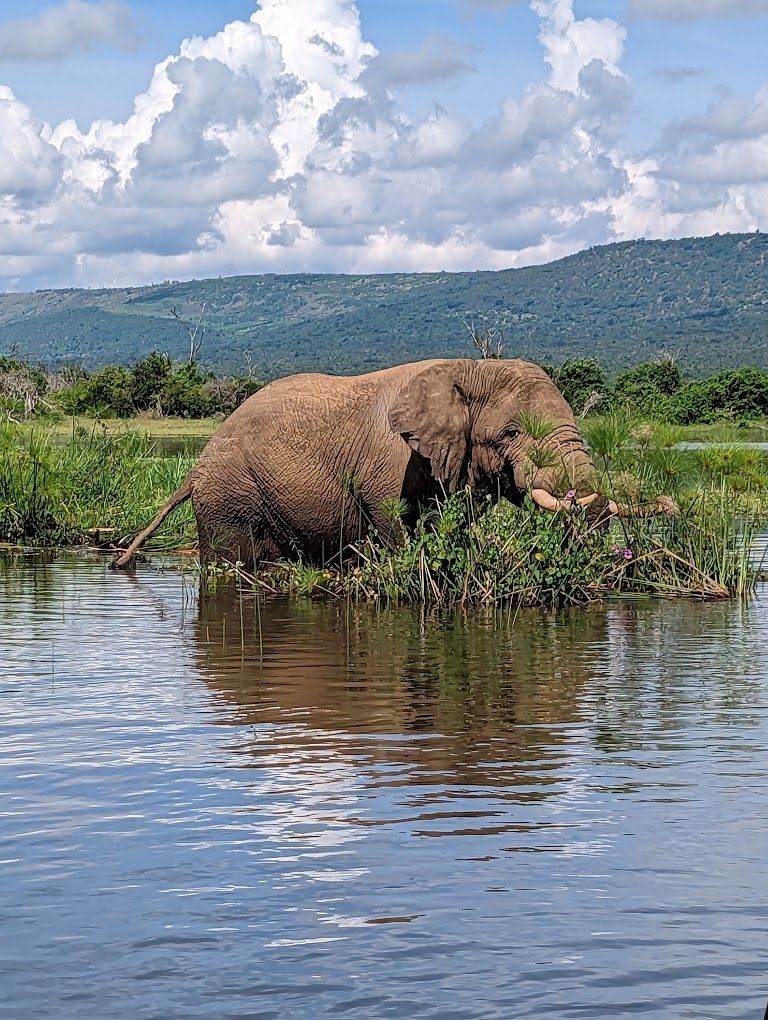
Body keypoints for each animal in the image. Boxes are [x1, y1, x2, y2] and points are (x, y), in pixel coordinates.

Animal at [113, 357, 674, 571]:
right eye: (511, 434)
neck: (468, 369)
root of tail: (194, 467)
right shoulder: (391, 459)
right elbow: (391, 516)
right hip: (230, 494)